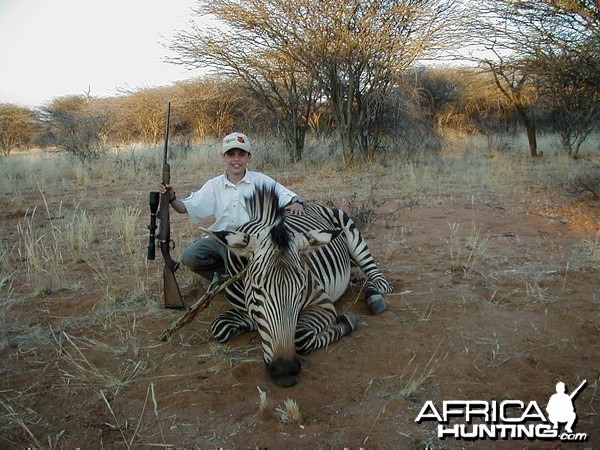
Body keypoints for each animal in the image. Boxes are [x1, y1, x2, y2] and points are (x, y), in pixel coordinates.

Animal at [202, 183, 394, 386]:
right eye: (255, 291)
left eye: (301, 290)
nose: (284, 371)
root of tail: (310, 204)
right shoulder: (242, 309)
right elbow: (219, 327)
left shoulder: (322, 302)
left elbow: (300, 336)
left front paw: (346, 322)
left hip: (353, 237)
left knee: (378, 280)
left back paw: (374, 295)